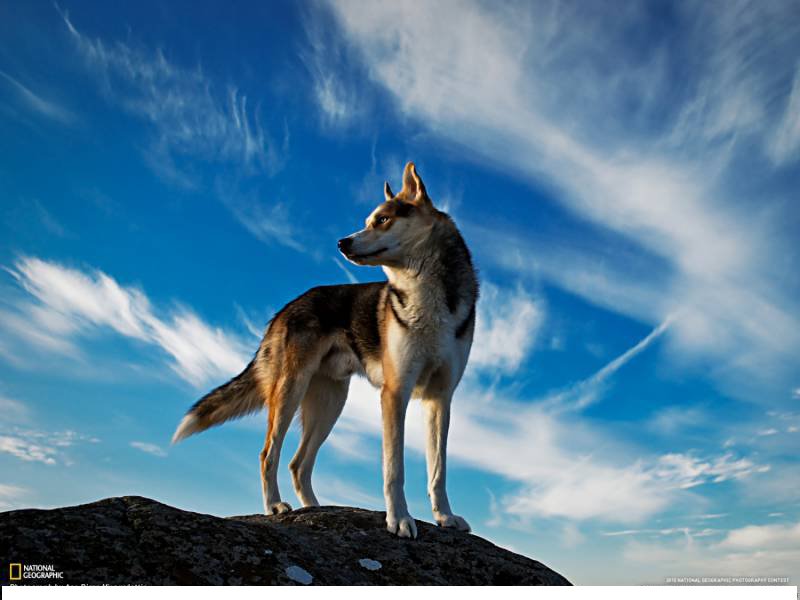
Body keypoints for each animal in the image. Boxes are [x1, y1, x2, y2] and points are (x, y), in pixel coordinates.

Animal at [172, 162, 478, 536]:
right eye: (368, 220)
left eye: (382, 220)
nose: (342, 242)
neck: (426, 296)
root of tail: (286, 308)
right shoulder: (395, 393)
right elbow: (394, 469)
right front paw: (399, 519)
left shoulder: (440, 398)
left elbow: (438, 470)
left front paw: (445, 517)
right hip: (290, 392)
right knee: (268, 455)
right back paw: (274, 506)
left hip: (329, 403)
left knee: (298, 463)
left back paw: (315, 509)